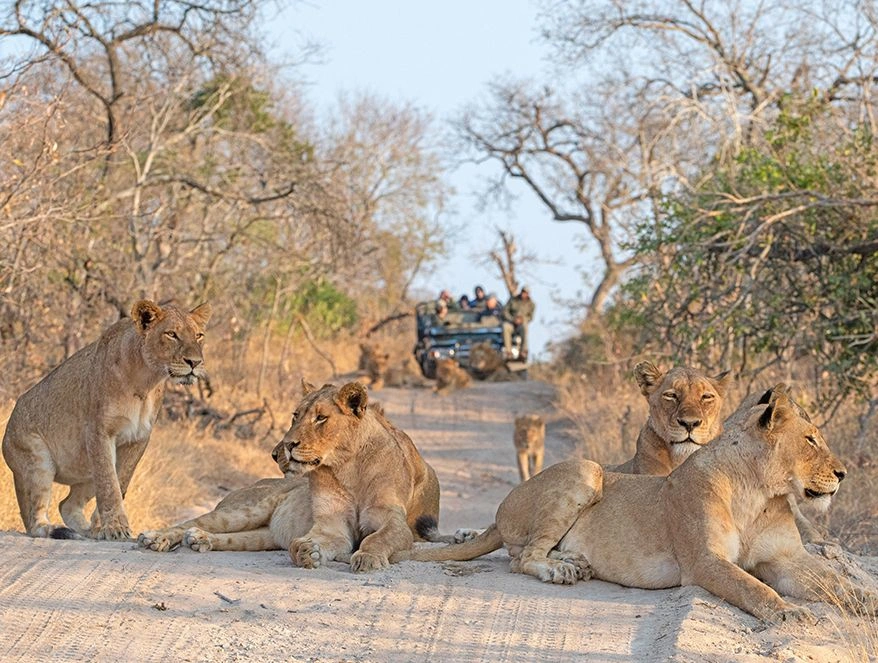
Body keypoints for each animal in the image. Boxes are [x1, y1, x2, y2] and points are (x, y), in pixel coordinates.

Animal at [2, 299, 211, 541]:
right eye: (172, 334)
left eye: (199, 335)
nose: (195, 362)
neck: (146, 382)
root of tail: (6, 437)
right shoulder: (99, 433)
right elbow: (109, 484)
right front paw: (115, 528)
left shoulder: (138, 439)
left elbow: (120, 481)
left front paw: (103, 526)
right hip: (37, 460)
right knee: (34, 519)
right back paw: (58, 530)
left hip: (84, 469)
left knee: (67, 504)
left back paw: (86, 532)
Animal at [140, 380, 448, 573]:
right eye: (295, 415)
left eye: (321, 418)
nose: (285, 447)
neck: (349, 467)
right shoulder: (331, 525)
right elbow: (309, 541)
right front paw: (306, 552)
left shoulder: (394, 521)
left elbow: (377, 539)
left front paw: (368, 559)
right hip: (245, 509)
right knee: (191, 522)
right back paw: (156, 538)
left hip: (262, 536)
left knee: (229, 537)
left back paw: (200, 540)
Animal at [395, 386, 877, 624]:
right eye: (811, 439)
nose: (843, 474)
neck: (759, 492)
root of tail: (500, 512)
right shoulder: (704, 561)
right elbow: (753, 587)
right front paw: (789, 612)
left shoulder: (787, 558)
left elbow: (836, 583)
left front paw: (865, 600)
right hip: (585, 469)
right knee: (523, 558)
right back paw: (560, 570)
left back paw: (574, 561)